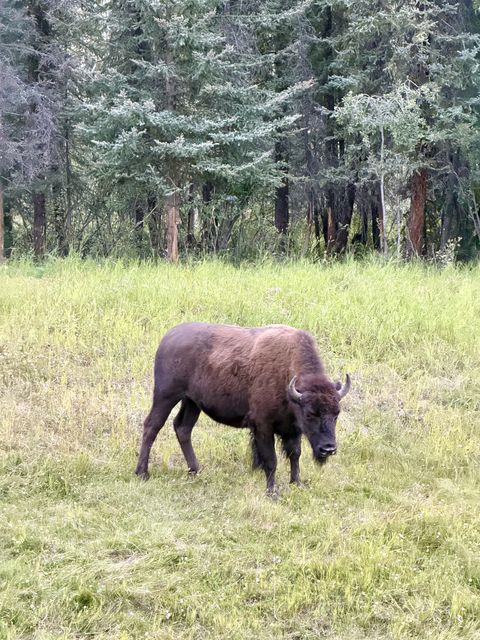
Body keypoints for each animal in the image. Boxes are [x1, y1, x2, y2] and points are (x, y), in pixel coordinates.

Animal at [135, 322, 350, 493]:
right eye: (310, 414)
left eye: (336, 414)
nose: (328, 448)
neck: (286, 373)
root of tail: (168, 337)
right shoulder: (264, 426)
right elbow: (271, 460)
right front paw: (272, 492)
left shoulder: (293, 429)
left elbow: (294, 455)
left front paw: (297, 483)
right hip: (166, 396)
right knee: (152, 426)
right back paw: (142, 473)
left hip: (192, 402)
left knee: (183, 428)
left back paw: (196, 470)